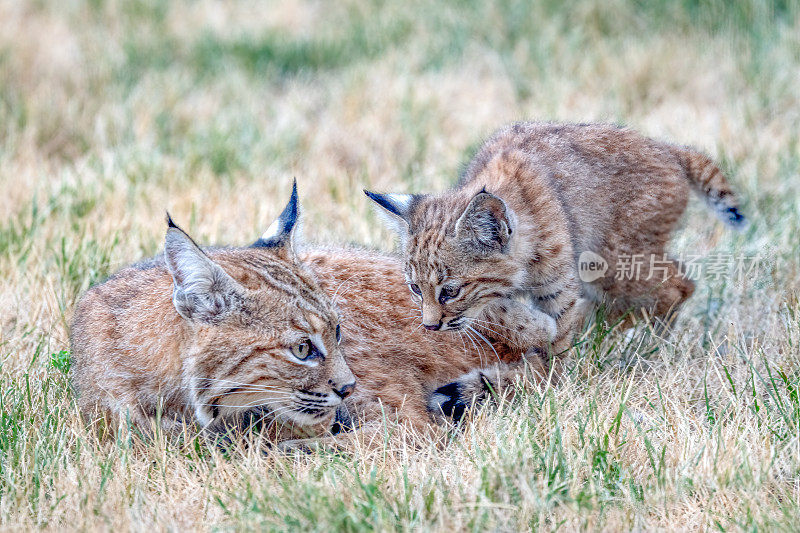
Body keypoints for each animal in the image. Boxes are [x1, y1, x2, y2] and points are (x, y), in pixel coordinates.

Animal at [366, 121, 748, 416]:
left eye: (450, 291)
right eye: (415, 289)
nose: (430, 327)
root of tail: (669, 149)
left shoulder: (559, 286)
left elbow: (558, 337)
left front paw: (553, 380)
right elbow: (500, 310)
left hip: (611, 263)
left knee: (679, 285)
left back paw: (642, 344)